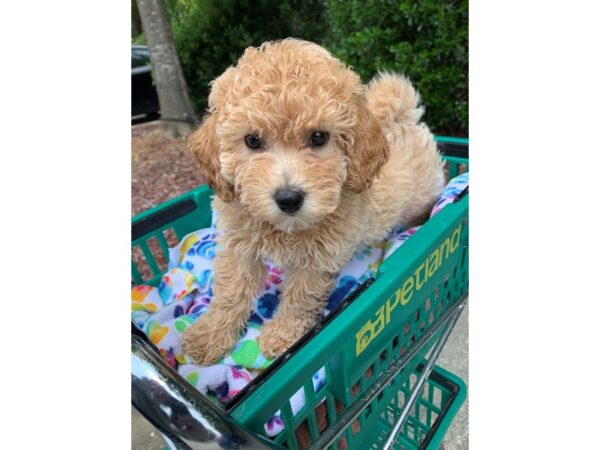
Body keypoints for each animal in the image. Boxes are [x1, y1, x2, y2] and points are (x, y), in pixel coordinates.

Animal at [180, 37, 442, 364]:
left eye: (319, 137)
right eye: (252, 140)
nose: (288, 198)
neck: (285, 229)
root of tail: (404, 120)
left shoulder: (318, 258)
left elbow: (299, 298)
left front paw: (282, 336)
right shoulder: (239, 245)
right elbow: (231, 290)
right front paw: (210, 335)